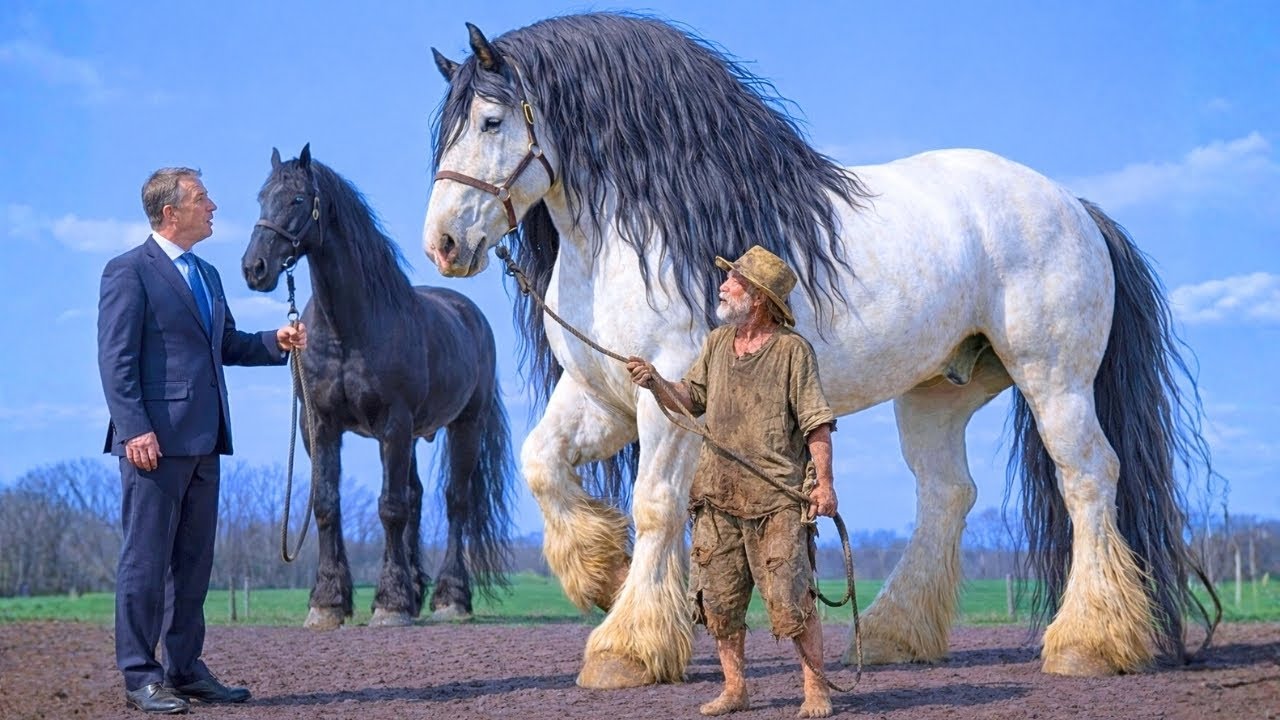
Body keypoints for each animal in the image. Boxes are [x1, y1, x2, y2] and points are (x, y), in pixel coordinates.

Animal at [242, 144, 516, 627]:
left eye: (297, 199)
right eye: (261, 198)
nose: (254, 268)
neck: (348, 329)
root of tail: (468, 313)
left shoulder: (393, 423)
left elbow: (390, 508)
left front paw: (389, 603)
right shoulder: (320, 427)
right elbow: (327, 504)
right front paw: (329, 601)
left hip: (463, 426)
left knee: (455, 502)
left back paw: (450, 597)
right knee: (417, 497)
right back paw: (417, 588)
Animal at [422, 14, 1217, 686]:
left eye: (491, 120)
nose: (444, 245)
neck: (642, 236)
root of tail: (1073, 205)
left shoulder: (670, 403)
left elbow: (654, 506)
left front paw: (626, 647)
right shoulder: (602, 394)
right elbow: (542, 465)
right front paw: (599, 571)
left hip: (1054, 379)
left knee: (1087, 476)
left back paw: (1089, 642)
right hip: (939, 391)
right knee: (947, 494)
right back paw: (895, 636)